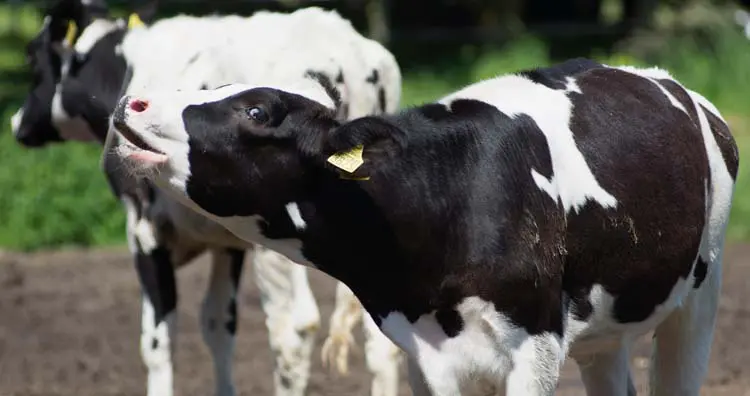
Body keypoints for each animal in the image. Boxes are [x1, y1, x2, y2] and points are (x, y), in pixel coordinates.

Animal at [8, 0, 406, 396]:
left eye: (32, 58)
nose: (16, 123)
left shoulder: (144, 230)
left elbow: (158, 341)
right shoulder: (226, 240)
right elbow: (217, 324)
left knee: (294, 331)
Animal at [110, 59, 740, 396]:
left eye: (258, 112)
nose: (131, 102)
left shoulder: (534, 349)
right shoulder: (423, 356)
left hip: (698, 303)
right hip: (605, 335)